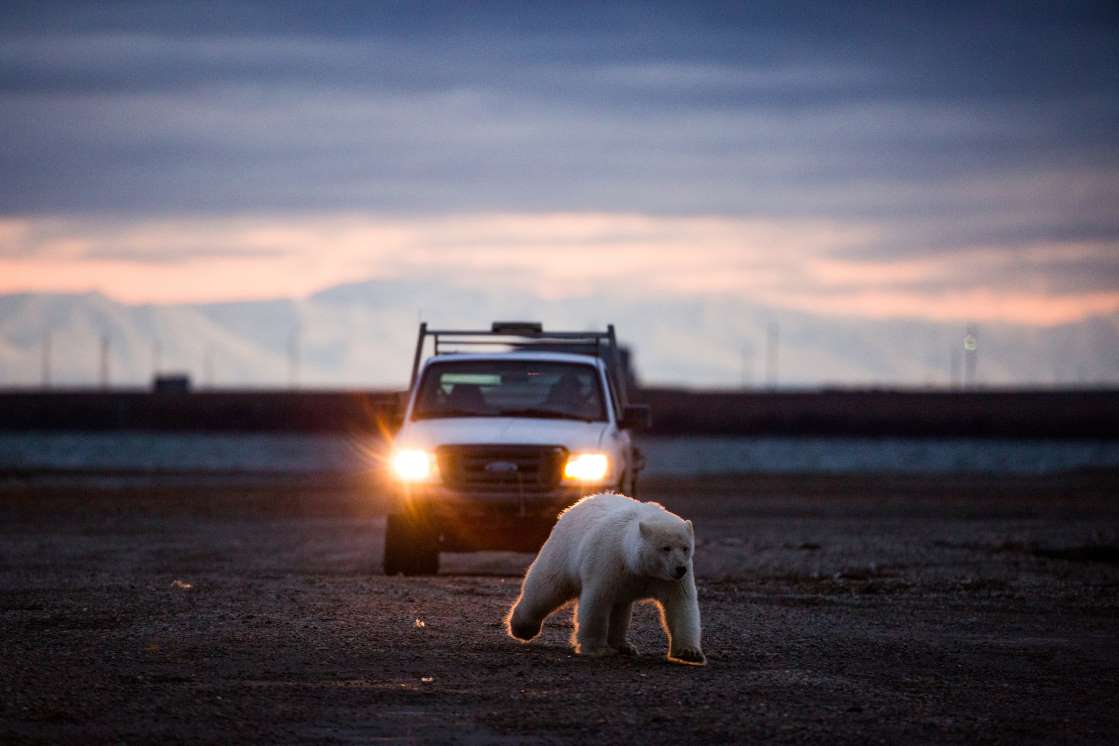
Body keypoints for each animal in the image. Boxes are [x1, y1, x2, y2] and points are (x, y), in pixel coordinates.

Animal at [510, 496, 707, 666]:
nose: (680, 568)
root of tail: (575, 506)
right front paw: (598, 649)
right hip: (564, 550)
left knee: (621, 606)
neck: (635, 564)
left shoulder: (668, 579)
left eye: (685, 547)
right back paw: (522, 628)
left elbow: (680, 603)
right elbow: (597, 600)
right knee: (547, 586)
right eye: (665, 548)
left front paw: (690, 653)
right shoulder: (609, 561)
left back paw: (624, 645)